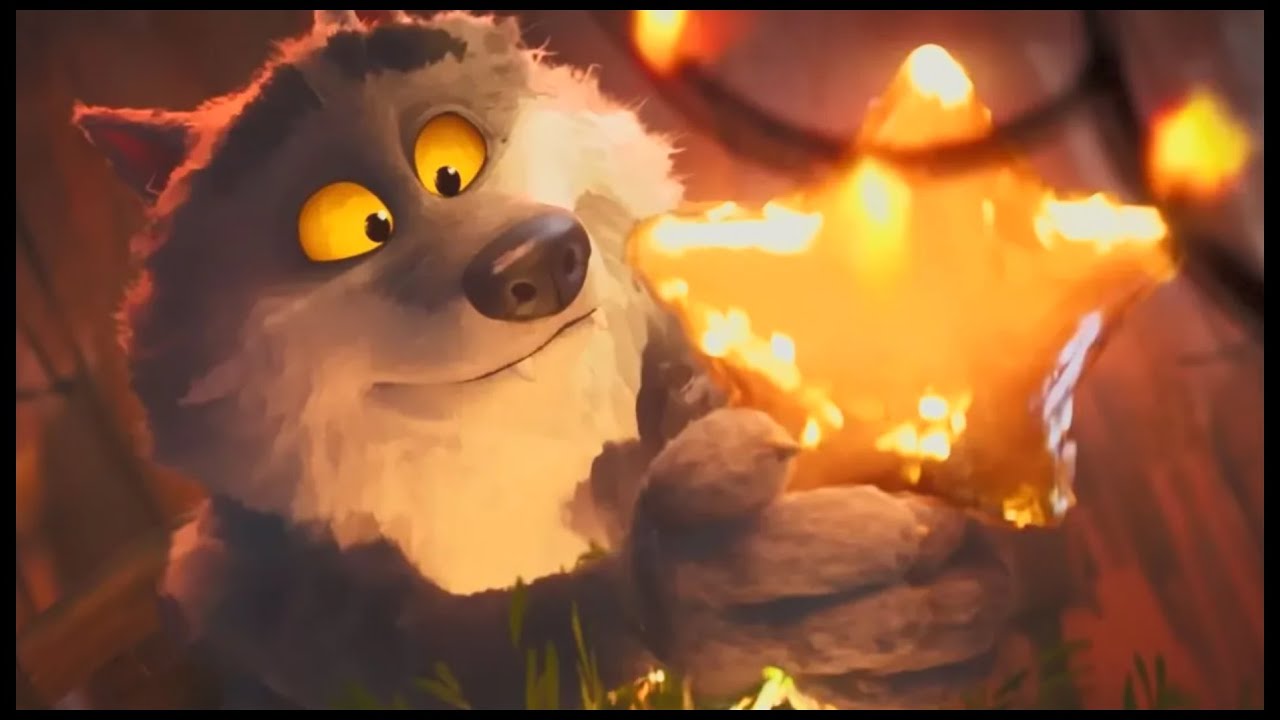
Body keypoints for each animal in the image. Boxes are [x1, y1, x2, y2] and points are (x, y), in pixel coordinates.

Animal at [74, 10, 1014, 709]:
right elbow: (501, 648)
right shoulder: (256, 606)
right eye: (349, 223)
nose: (543, 258)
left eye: (452, 161)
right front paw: (727, 592)